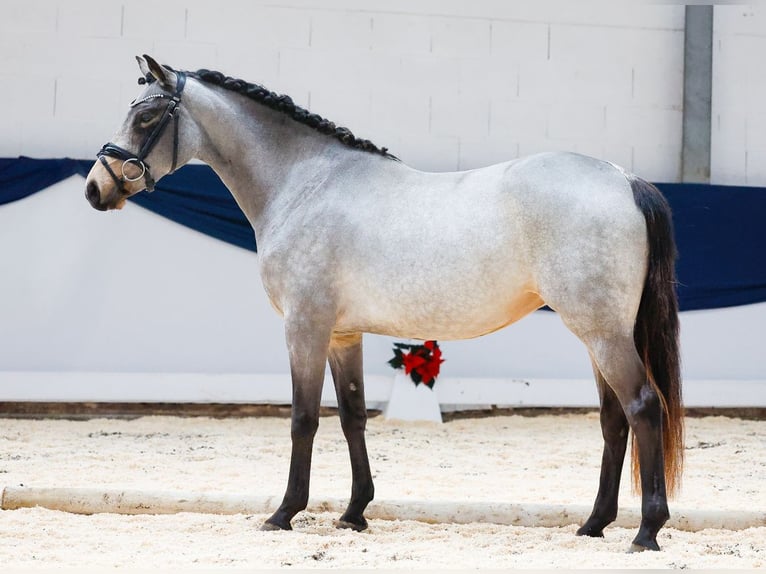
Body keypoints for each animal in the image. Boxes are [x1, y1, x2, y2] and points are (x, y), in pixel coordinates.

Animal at [85, 55, 683, 552]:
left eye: (146, 117)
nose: (95, 188)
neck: (305, 185)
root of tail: (624, 178)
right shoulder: (342, 334)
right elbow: (353, 417)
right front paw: (354, 513)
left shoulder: (304, 327)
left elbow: (303, 418)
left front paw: (284, 513)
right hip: (597, 334)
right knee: (614, 419)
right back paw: (594, 524)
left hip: (602, 333)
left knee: (642, 406)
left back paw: (647, 531)